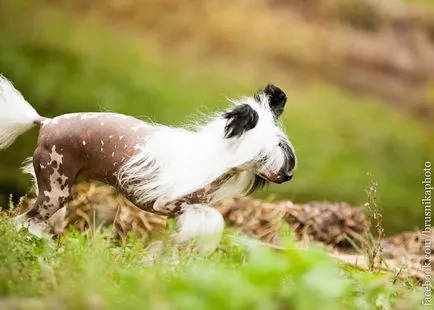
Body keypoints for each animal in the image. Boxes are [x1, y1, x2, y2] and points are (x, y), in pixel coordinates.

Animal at [0, 75, 296, 252]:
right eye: (266, 154)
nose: (288, 176)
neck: (215, 159)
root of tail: (46, 122)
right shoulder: (170, 204)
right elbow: (213, 217)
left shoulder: (178, 214)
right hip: (54, 190)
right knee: (23, 220)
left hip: (59, 188)